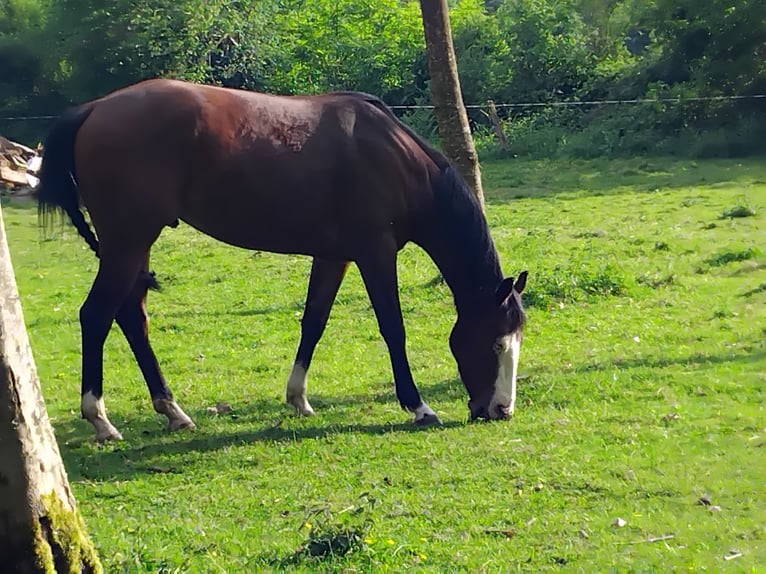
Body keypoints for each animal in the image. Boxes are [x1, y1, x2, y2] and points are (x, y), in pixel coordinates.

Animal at [36, 78, 528, 442]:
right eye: (497, 344)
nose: (501, 410)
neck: (393, 157)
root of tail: (94, 109)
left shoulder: (333, 256)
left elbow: (314, 321)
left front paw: (298, 398)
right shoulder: (375, 253)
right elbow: (393, 327)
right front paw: (418, 406)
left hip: (133, 246)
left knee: (131, 318)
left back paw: (172, 411)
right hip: (129, 241)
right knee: (96, 315)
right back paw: (100, 419)